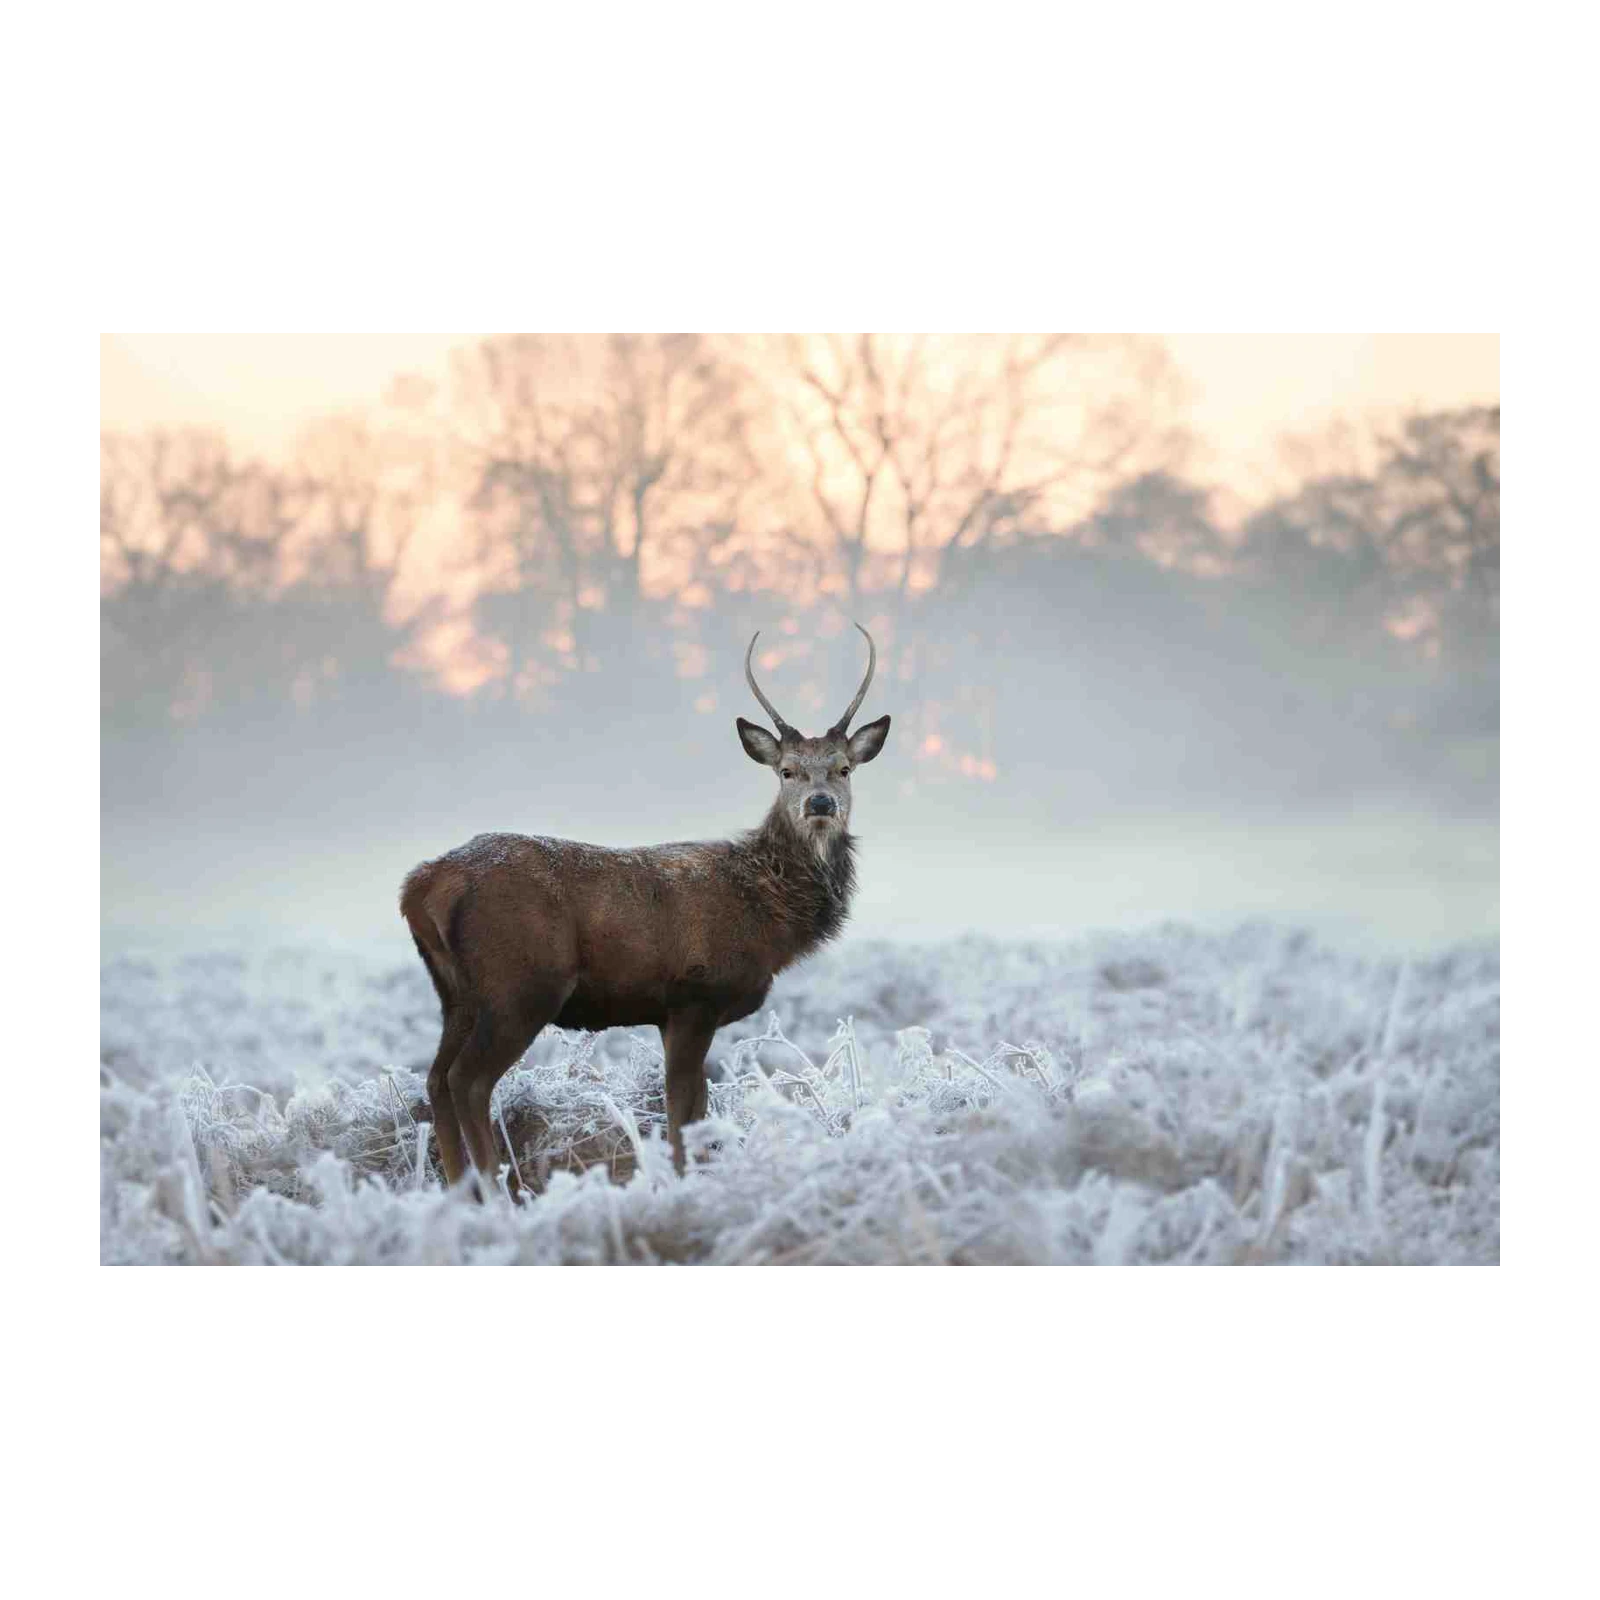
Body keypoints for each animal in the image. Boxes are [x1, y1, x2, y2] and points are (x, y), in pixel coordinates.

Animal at [399, 623, 891, 1196]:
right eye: (787, 771)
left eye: (843, 769)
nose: (819, 803)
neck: (768, 917)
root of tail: (421, 885)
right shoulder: (695, 994)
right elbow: (681, 1110)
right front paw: (682, 1184)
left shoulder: (674, 1011)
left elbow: (695, 1106)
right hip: (520, 983)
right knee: (467, 1080)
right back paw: (496, 1192)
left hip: (456, 992)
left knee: (436, 1077)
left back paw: (460, 1195)